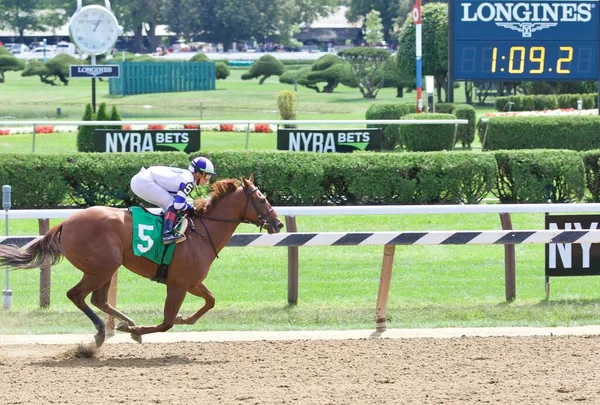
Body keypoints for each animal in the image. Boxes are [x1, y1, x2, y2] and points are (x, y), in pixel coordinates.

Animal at [0, 175, 284, 346]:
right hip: (102, 267)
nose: (278, 223)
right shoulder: (178, 285)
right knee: (77, 295)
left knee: (98, 299)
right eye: (261, 199)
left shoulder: (191, 282)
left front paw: (183, 319)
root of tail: (66, 222)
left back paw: (123, 322)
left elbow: (210, 302)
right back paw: (105, 330)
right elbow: (167, 322)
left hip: (105, 268)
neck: (203, 232)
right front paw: (137, 332)